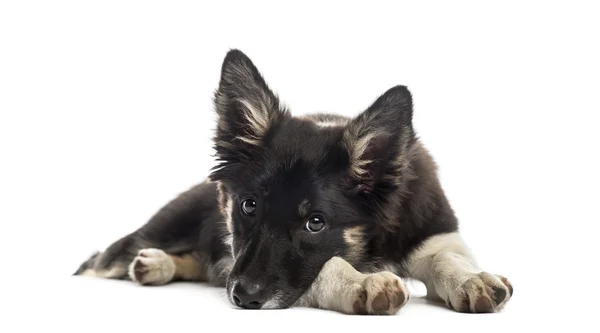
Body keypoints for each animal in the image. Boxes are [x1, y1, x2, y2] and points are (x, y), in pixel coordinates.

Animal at [75, 49, 512, 314]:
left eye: (315, 222)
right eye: (249, 205)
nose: (243, 298)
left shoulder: (437, 234)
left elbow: (446, 258)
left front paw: (472, 279)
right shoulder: (239, 260)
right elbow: (325, 265)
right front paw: (360, 283)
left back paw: (158, 266)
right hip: (147, 237)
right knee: (98, 263)